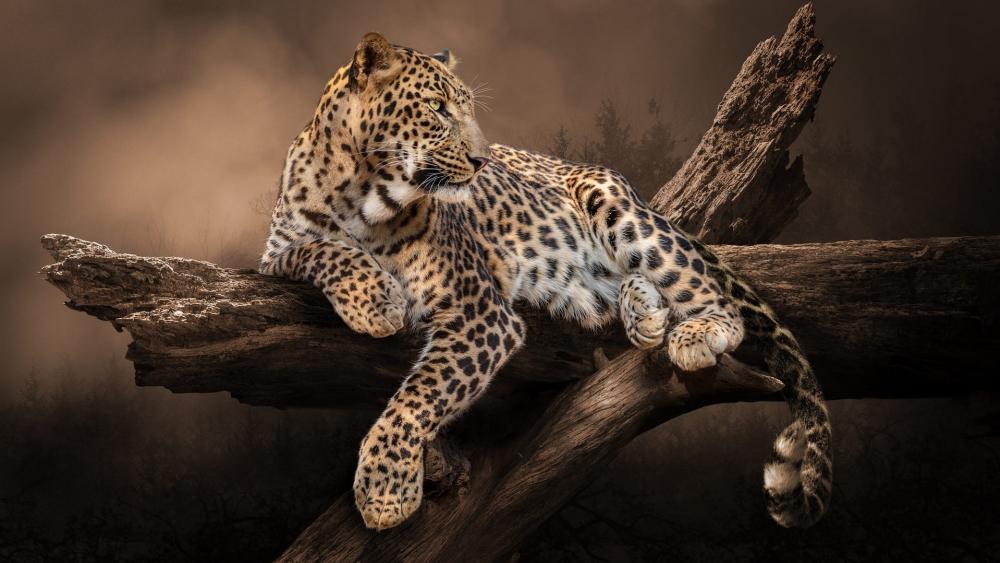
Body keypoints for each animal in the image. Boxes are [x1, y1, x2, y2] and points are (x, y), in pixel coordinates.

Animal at [260, 32, 833, 531]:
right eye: (438, 109)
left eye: (467, 108)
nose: (481, 161)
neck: (361, 192)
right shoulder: (274, 255)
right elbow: (315, 249)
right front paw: (374, 299)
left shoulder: (481, 312)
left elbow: (418, 396)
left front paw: (384, 490)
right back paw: (644, 313)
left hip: (619, 209)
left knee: (705, 290)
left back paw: (694, 330)